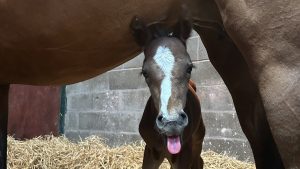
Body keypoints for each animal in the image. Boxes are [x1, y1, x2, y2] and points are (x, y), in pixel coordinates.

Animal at [131, 16, 206, 168]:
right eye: (145, 72)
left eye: (189, 68)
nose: (172, 123)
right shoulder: (151, 151)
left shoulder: (184, 154)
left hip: (198, 140)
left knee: (199, 161)